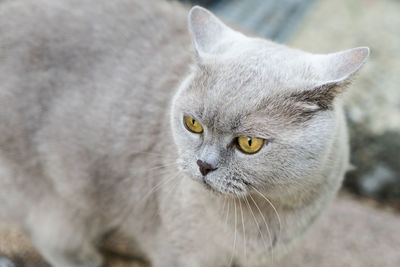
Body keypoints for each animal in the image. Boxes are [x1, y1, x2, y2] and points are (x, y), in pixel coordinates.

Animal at [0, 0, 368, 267]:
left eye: (249, 143)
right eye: (192, 124)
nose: (204, 165)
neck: (268, 215)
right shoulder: (181, 252)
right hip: (56, 193)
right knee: (52, 236)